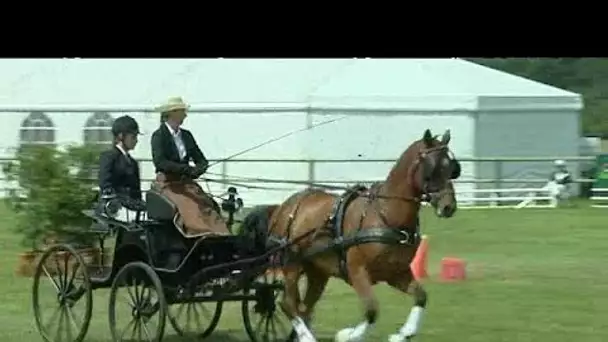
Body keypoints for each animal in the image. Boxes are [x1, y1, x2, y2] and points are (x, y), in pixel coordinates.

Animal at [240, 129, 458, 342]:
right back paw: (307, 336)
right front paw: (347, 335)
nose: (449, 207)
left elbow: (421, 296)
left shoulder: (396, 273)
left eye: (452, 169)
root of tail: (281, 207)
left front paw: (402, 334)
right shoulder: (357, 271)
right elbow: (371, 310)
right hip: (291, 263)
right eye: (433, 168)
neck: (384, 214)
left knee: (304, 308)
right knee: (287, 304)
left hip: (317, 271)